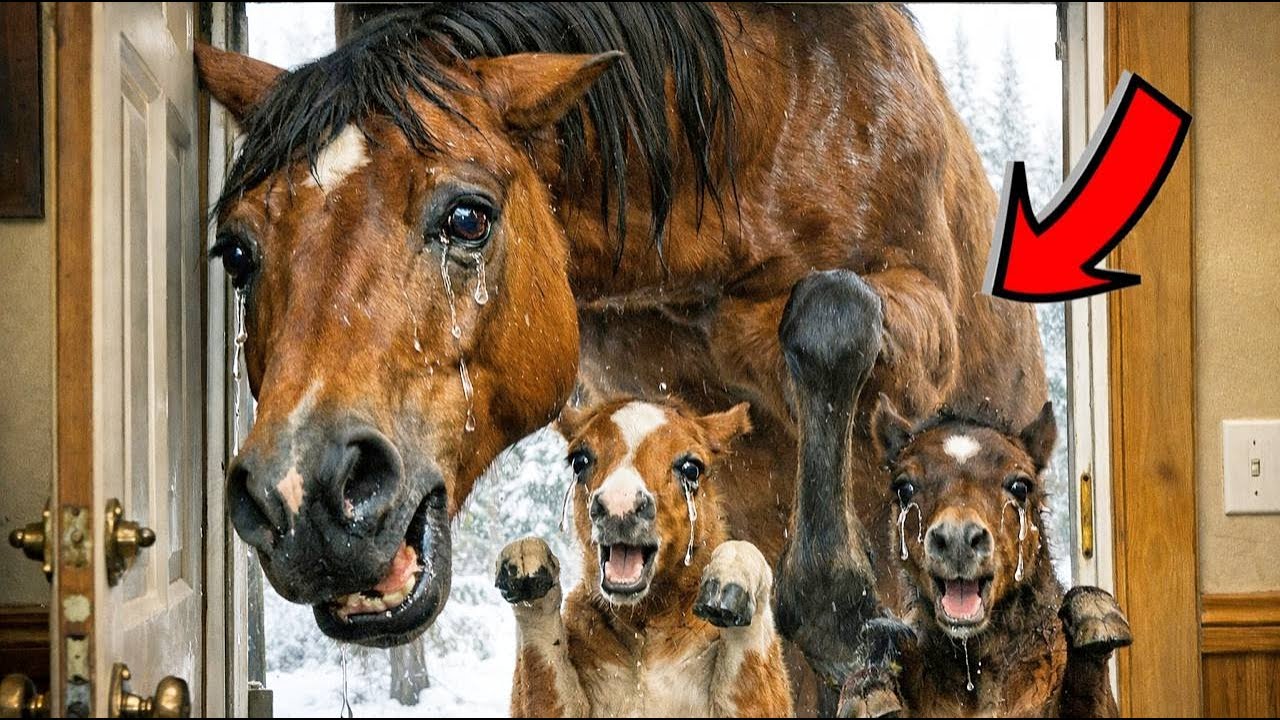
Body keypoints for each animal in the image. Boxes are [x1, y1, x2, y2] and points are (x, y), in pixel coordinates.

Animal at [495, 398, 791, 717]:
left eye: (691, 468)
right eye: (579, 460)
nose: (619, 506)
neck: (644, 633)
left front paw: (732, 580)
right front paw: (526, 564)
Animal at [836, 398, 1130, 717]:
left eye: (1020, 486)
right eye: (904, 487)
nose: (957, 540)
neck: (977, 672)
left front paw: (1096, 616)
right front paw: (867, 693)